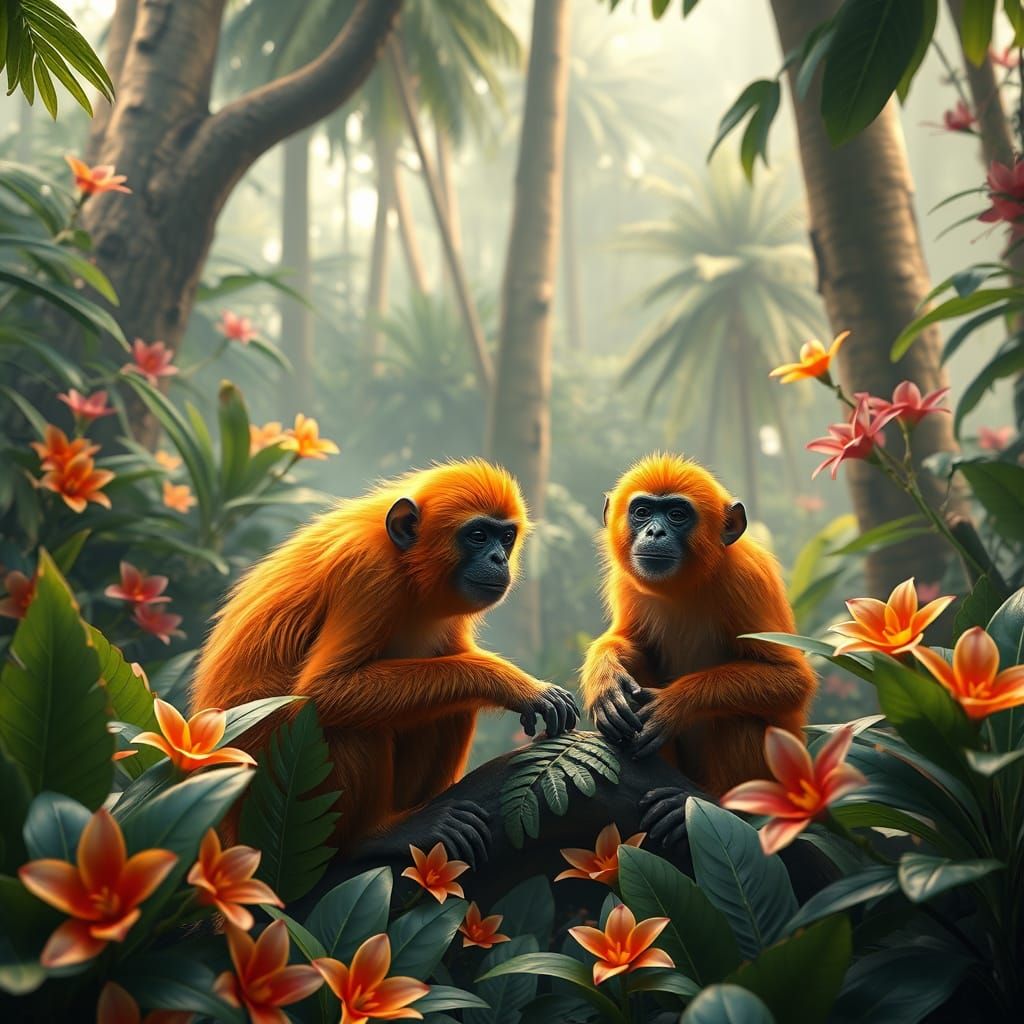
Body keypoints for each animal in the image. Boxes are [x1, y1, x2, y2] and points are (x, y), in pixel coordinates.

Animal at [192, 459, 578, 866]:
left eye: (505, 538)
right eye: (477, 536)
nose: (498, 559)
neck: (404, 564)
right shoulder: (367, 571)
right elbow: (323, 691)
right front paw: (514, 684)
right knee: (345, 721)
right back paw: (374, 837)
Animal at [580, 454, 816, 848]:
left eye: (677, 515)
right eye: (642, 512)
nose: (654, 533)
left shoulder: (747, 578)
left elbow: (792, 680)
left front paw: (674, 704)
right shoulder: (627, 581)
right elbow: (628, 645)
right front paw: (606, 679)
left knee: (740, 716)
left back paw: (710, 804)